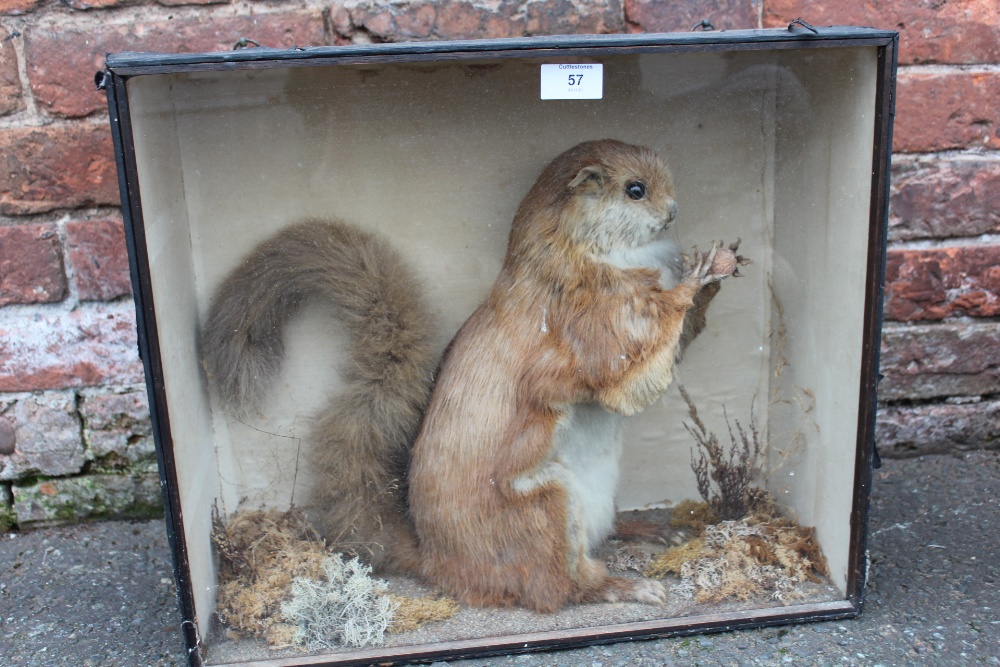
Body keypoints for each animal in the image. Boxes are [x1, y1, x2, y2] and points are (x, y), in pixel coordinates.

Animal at [203, 141, 748, 616]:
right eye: (635, 189)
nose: (674, 210)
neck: (585, 252)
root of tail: (437, 562)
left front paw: (720, 264)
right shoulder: (593, 321)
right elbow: (632, 367)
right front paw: (697, 277)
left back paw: (651, 532)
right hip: (545, 511)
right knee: (560, 589)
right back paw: (630, 586)